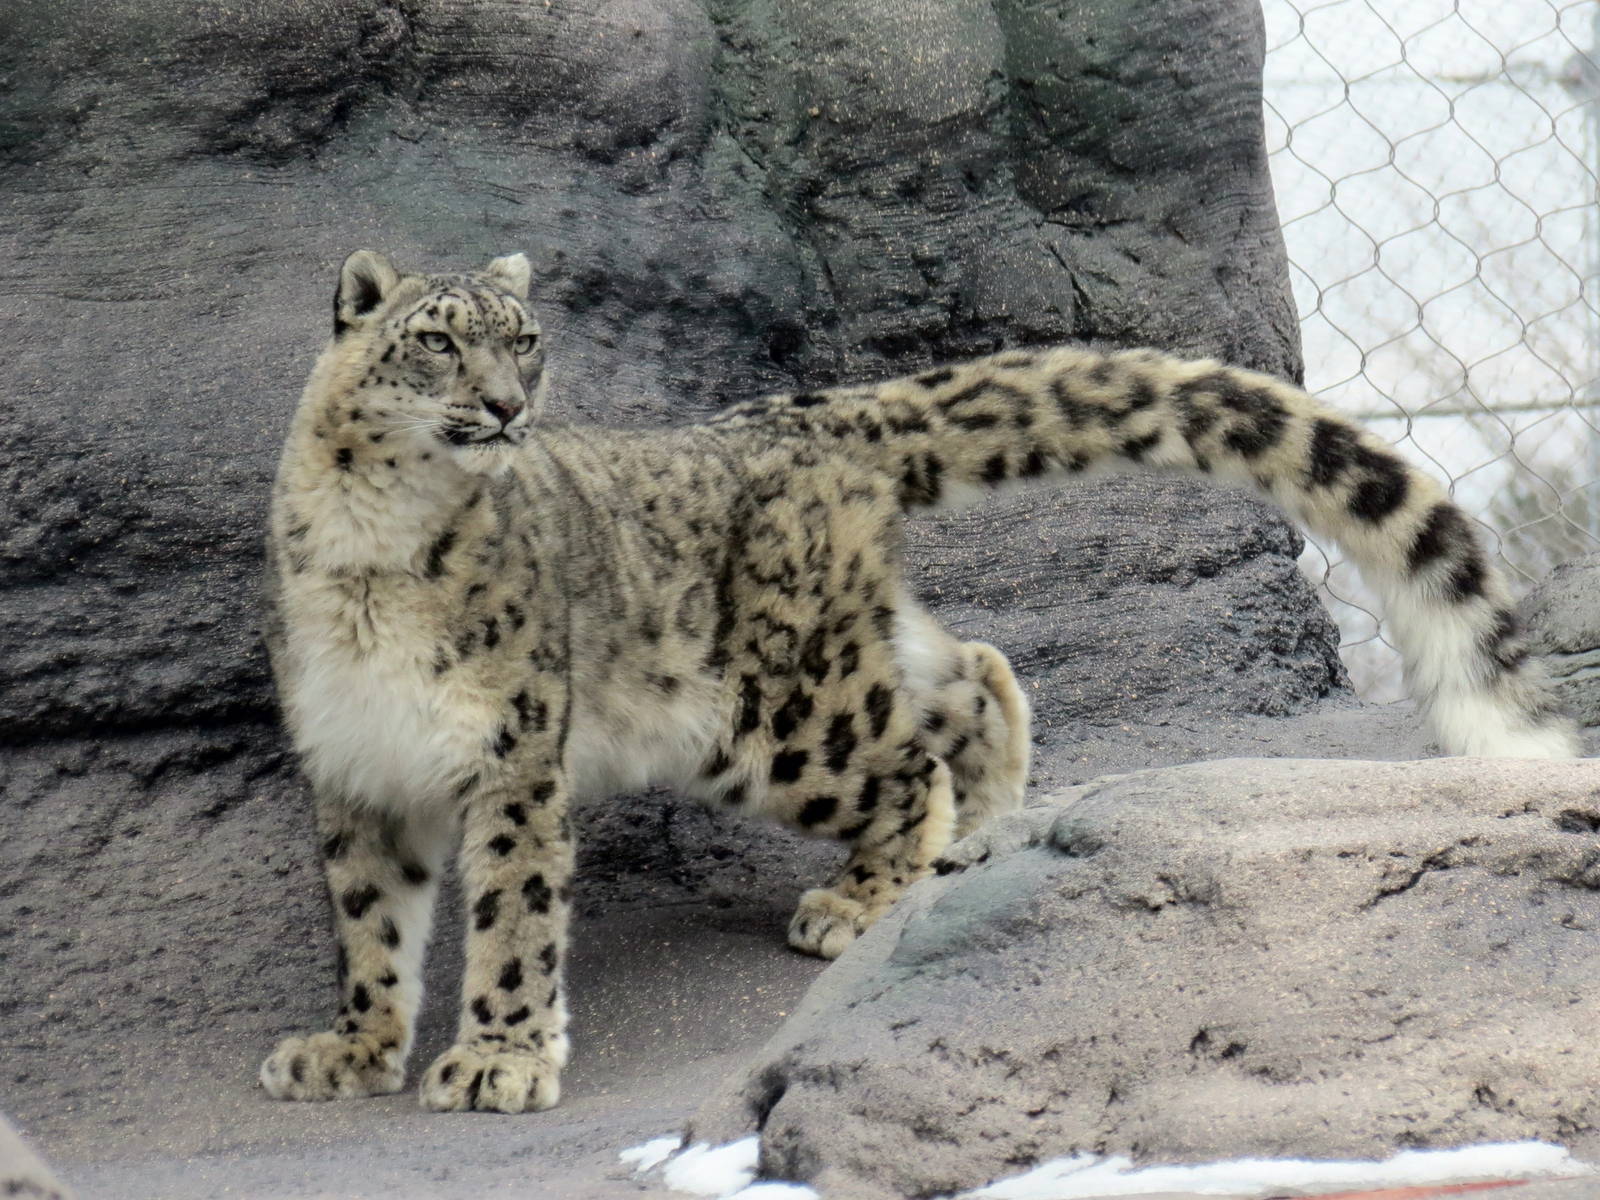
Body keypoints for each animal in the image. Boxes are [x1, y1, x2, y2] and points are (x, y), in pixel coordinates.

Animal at [258, 249, 1579, 1115]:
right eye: (436, 337)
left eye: (523, 337)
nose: (504, 402)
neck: (377, 548)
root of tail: (797, 421)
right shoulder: (353, 768)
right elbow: (369, 922)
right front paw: (351, 1048)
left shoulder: (514, 751)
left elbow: (511, 918)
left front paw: (498, 1059)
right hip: (849, 653)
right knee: (975, 678)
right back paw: (977, 844)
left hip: (779, 714)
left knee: (905, 762)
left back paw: (863, 899)